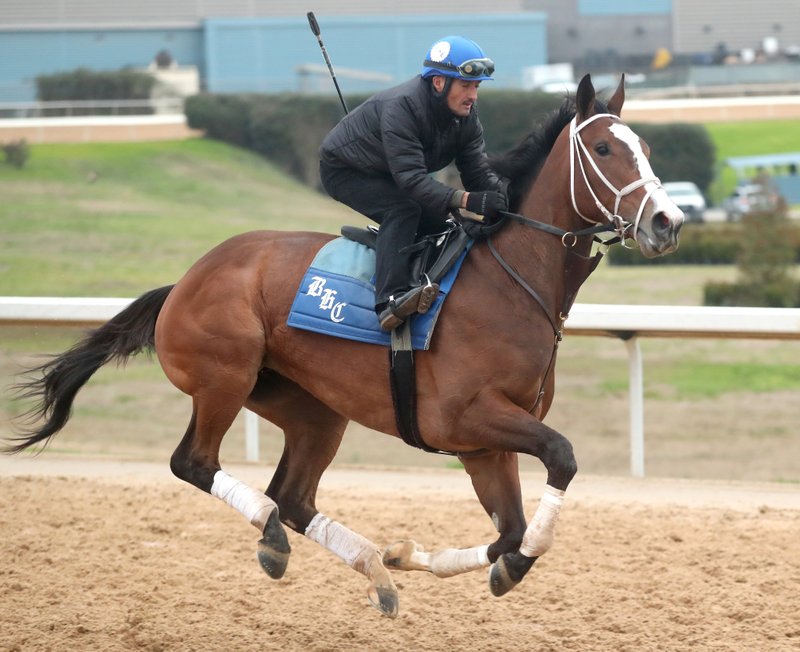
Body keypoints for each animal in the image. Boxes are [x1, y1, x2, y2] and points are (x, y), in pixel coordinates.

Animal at [6, 75, 680, 616]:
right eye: (604, 149)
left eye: (647, 149)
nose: (666, 222)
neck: (509, 280)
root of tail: (184, 282)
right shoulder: (468, 417)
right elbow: (559, 462)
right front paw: (506, 564)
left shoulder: (484, 446)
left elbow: (508, 532)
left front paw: (412, 555)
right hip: (225, 377)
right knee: (196, 464)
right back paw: (273, 537)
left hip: (313, 408)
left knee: (293, 497)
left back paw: (373, 569)